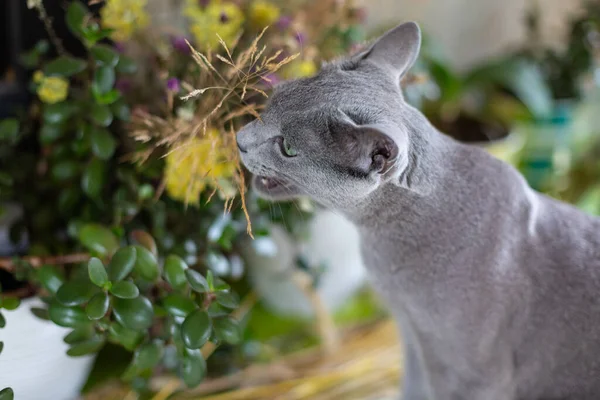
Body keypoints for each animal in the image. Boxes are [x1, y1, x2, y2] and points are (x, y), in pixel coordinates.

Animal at [237, 22, 600, 400]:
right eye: (271, 102)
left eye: (287, 148)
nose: (239, 139)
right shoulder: (412, 339)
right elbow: (412, 386)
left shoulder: (473, 376)